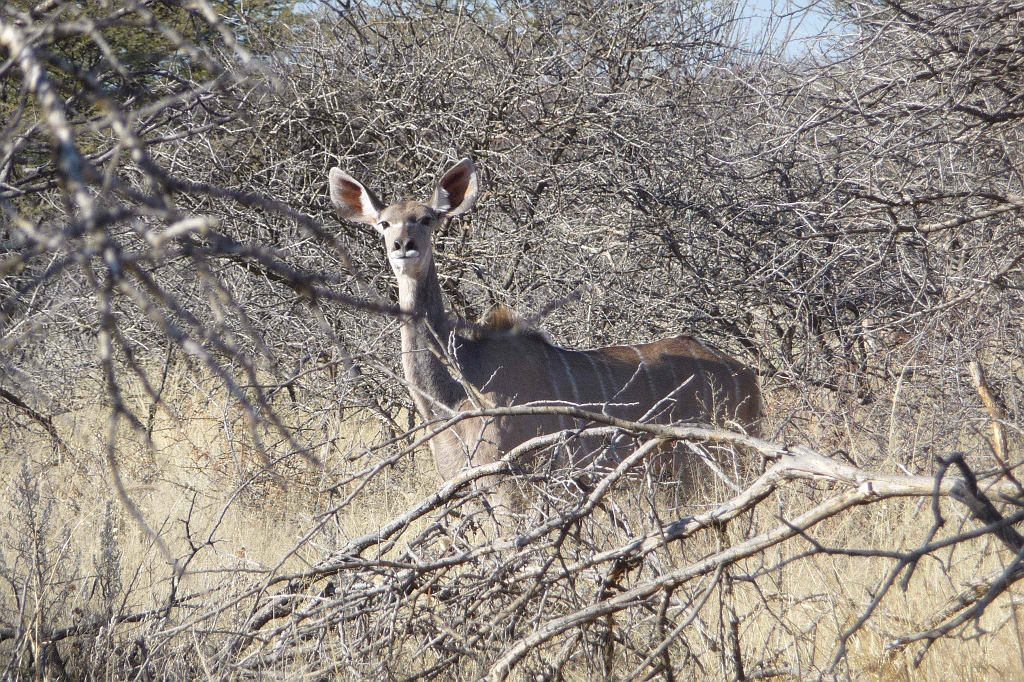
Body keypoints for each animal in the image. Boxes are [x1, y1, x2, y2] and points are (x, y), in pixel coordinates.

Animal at [327, 157, 761, 481]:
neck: (458, 388)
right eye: (384, 223)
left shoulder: (512, 482)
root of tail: (746, 374)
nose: (404, 245)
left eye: (427, 219)